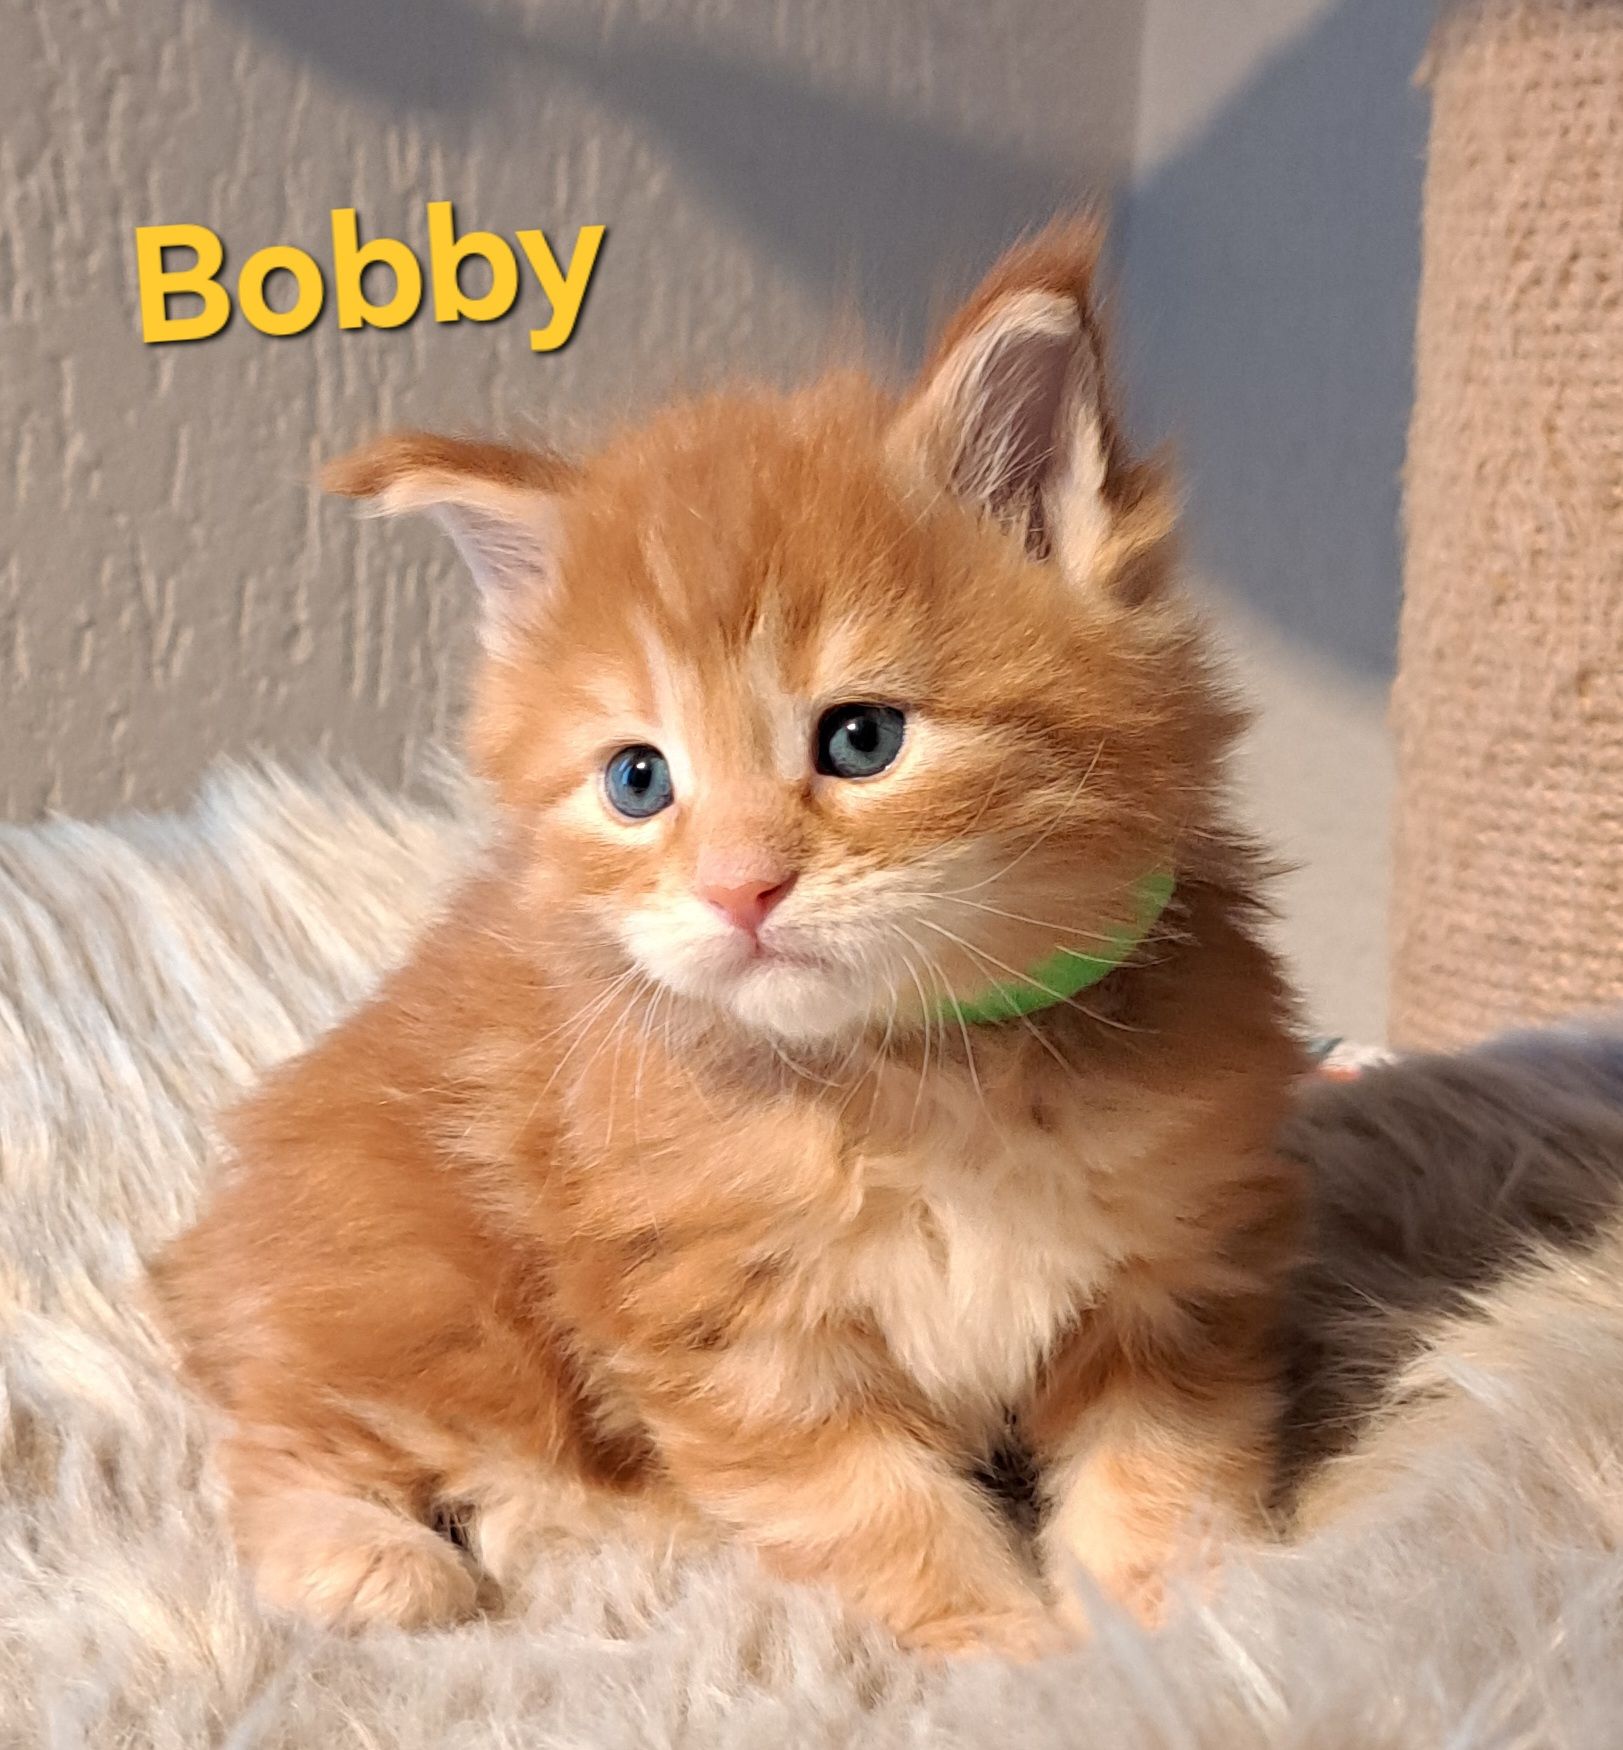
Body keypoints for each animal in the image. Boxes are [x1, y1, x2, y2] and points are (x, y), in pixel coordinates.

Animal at [154, 221, 1306, 1659]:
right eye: (638, 778)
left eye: (860, 739)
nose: (738, 890)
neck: (922, 1080)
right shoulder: (741, 1344)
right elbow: (880, 1518)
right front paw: (1014, 1655)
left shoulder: (1175, 1282)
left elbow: (1158, 1480)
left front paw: (1175, 1645)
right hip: (414, 1282)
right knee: (276, 1439)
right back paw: (396, 1553)